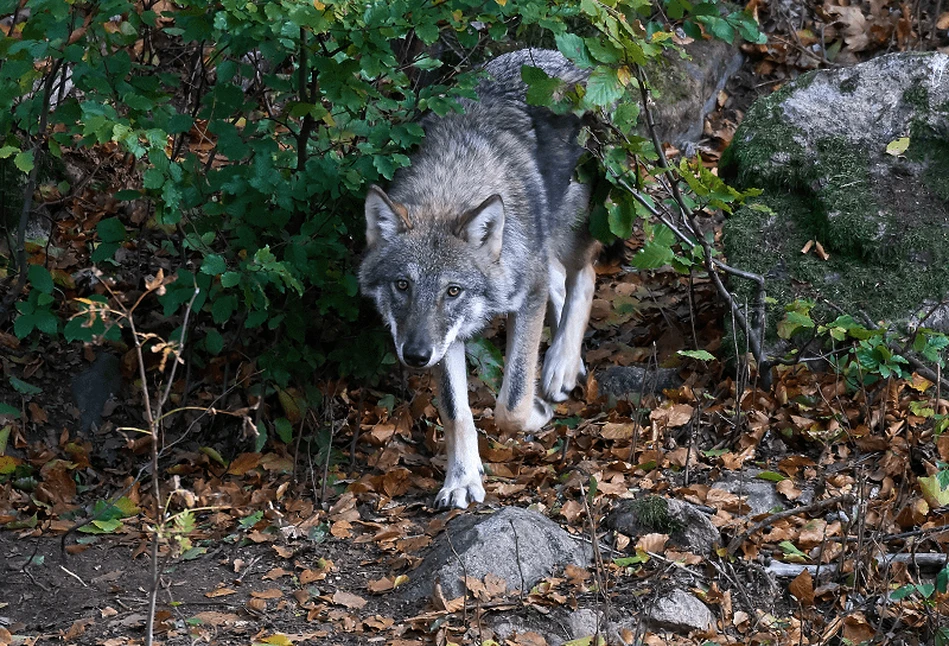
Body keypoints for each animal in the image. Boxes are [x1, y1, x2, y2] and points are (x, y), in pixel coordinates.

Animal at [362, 49, 600, 512]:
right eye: (403, 285)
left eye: (452, 291)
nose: (415, 356)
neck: (454, 182)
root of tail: (563, 58)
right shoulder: (444, 341)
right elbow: (457, 413)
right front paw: (461, 479)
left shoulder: (526, 297)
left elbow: (511, 401)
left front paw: (537, 413)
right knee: (560, 279)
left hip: (567, 226)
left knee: (586, 273)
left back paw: (561, 366)